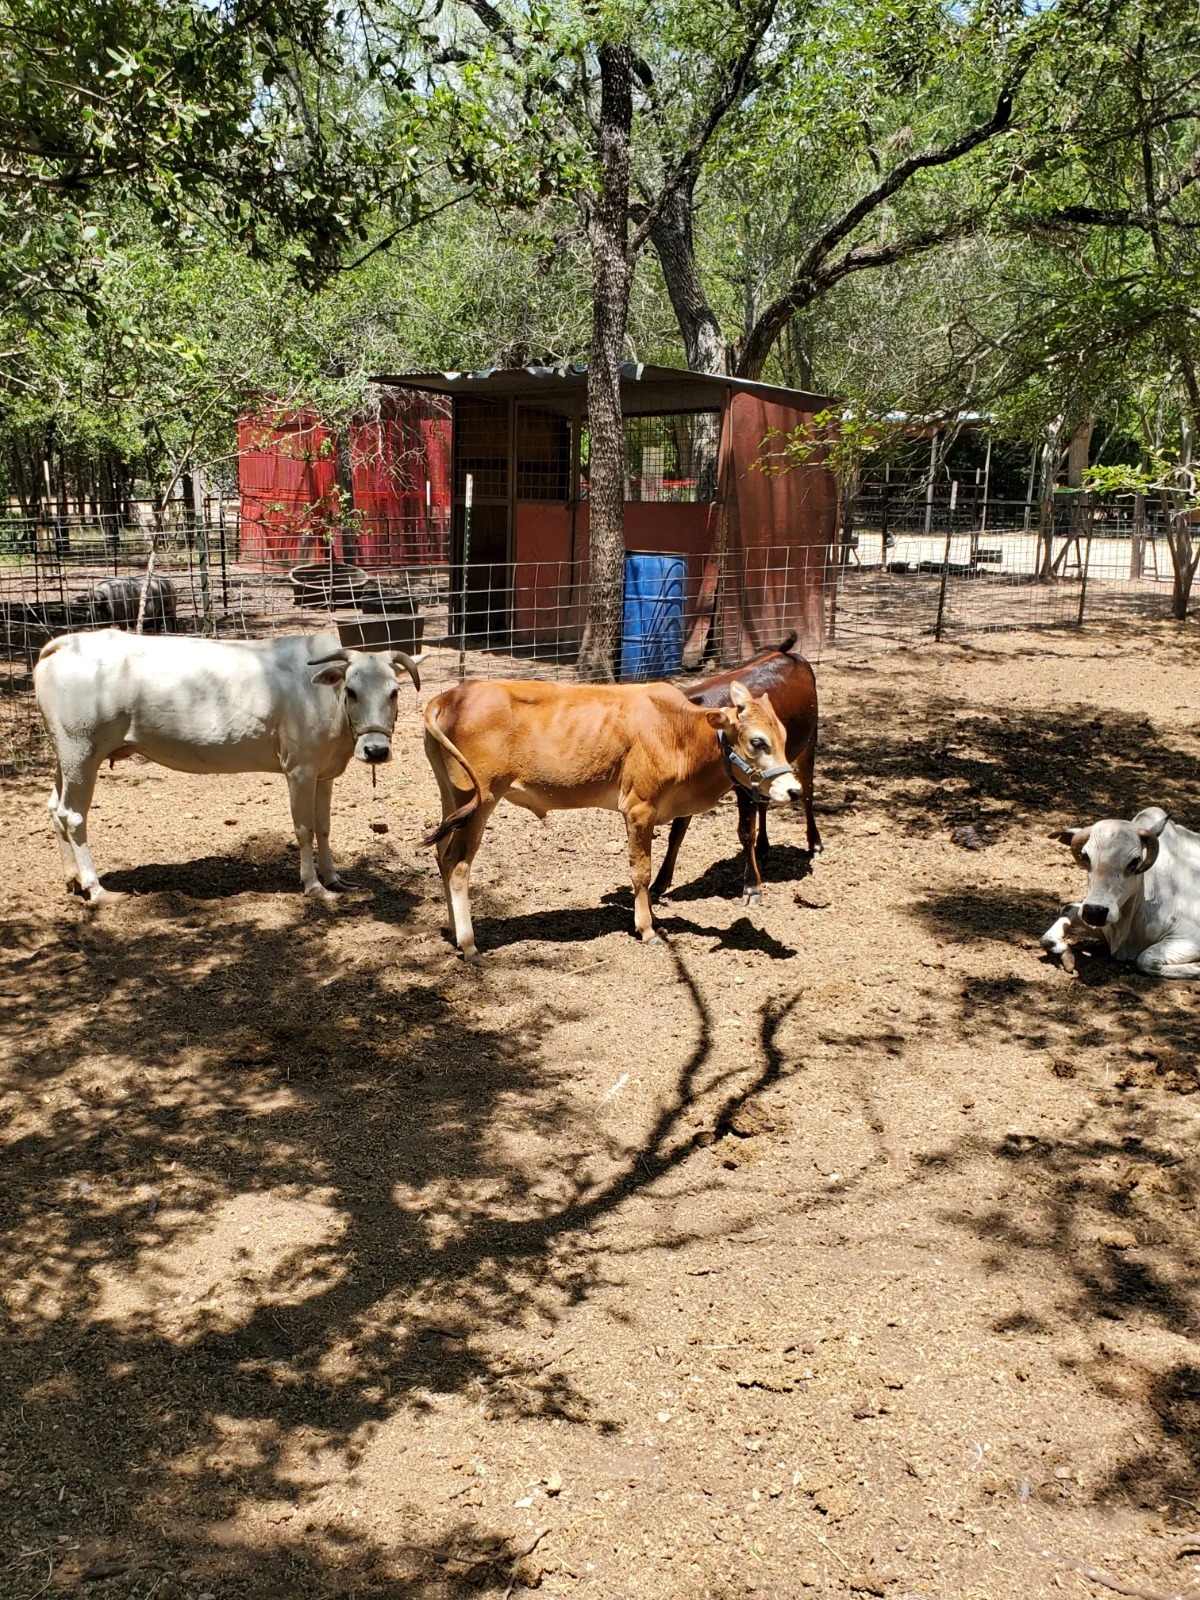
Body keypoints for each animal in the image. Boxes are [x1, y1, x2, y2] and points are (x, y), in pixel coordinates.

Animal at [33, 630, 421, 904]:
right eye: (352, 690)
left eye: (394, 691)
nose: (375, 750)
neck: (324, 697)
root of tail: (64, 644)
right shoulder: (299, 769)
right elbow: (304, 828)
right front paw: (314, 886)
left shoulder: (323, 772)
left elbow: (324, 827)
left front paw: (336, 880)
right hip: (81, 750)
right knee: (73, 815)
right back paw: (96, 889)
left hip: (67, 756)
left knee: (55, 808)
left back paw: (73, 880)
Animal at [422, 677, 802, 960]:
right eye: (758, 741)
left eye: (784, 737)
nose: (794, 791)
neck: (679, 732)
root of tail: (448, 696)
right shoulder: (639, 808)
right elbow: (641, 871)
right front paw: (647, 929)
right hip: (481, 800)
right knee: (458, 865)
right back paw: (470, 945)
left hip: (452, 796)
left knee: (441, 855)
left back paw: (454, 931)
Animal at [651, 631, 820, 905]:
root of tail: (785, 652)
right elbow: (676, 833)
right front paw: (659, 883)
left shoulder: (743, 785)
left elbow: (745, 831)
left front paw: (751, 887)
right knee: (764, 803)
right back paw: (763, 847)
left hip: (809, 743)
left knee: (807, 792)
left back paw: (814, 844)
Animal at [1041, 807, 1200, 977]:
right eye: (1085, 856)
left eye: (1135, 861)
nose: (1094, 912)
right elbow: (1060, 919)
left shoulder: (1190, 939)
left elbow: (1146, 960)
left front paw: (1197, 967)